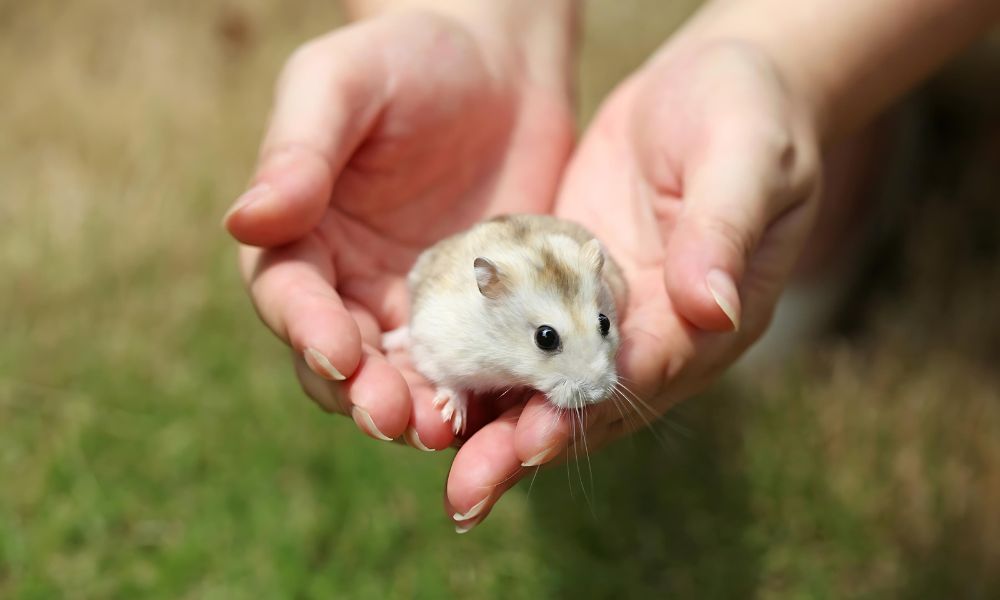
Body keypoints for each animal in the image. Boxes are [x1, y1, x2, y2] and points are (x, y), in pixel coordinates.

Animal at [384, 213, 628, 434]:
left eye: (605, 322)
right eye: (545, 337)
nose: (597, 395)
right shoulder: (435, 348)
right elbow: (450, 382)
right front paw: (452, 418)